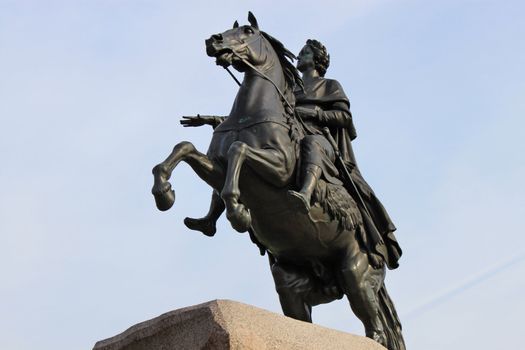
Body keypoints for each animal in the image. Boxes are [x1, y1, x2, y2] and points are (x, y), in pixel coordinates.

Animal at [151, 12, 406, 348]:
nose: (213, 40)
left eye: (248, 30)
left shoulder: (279, 169)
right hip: (291, 283)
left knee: (374, 328)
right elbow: (185, 147)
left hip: (355, 273)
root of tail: (381, 259)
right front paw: (163, 192)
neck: (250, 115)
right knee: (304, 318)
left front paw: (238, 212)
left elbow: (239, 150)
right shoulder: (215, 168)